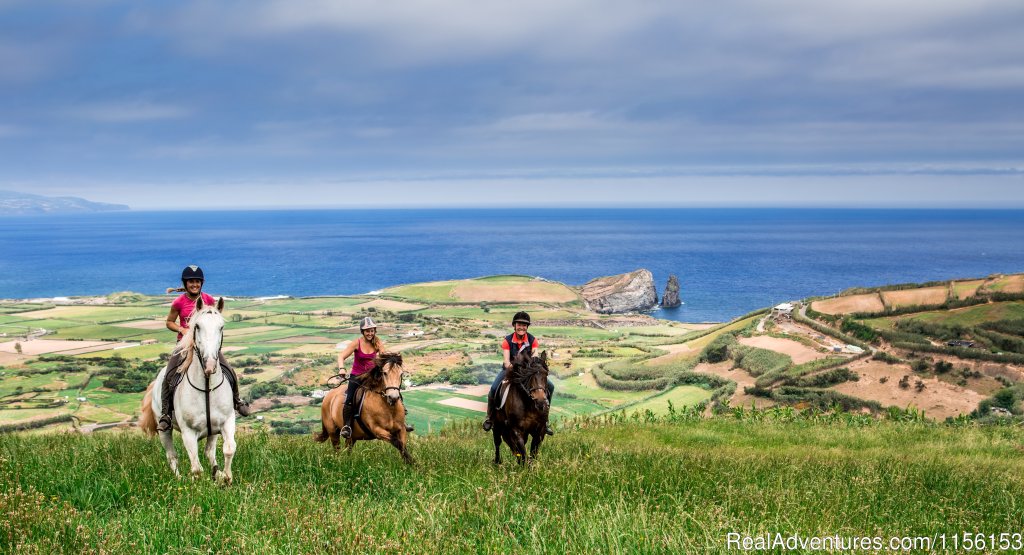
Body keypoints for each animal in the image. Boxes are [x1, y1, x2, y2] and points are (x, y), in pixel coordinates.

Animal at [139, 299, 236, 485]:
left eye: (221, 327)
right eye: (197, 326)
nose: (210, 365)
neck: (207, 387)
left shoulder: (226, 422)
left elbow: (228, 449)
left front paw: (226, 478)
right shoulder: (188, 432)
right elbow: (196, 468)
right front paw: (198, 486)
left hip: (212, 431)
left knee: (209, 453)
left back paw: (217, 474)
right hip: (164, 429)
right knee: (172, 456)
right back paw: (179, 479)